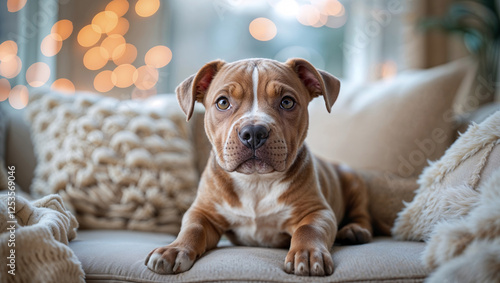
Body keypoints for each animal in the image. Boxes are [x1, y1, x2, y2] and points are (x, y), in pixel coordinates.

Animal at [145, 58, 372, 278]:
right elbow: (193, 228)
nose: (253, 132)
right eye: (223, 102)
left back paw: (355, 230)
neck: (256, 181)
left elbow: (309, 229)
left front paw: (307, 253)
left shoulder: (317, 210)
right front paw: (174, 249)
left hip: (353, 180)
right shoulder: (203, 212)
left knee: (361, 212)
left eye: (287, 102)